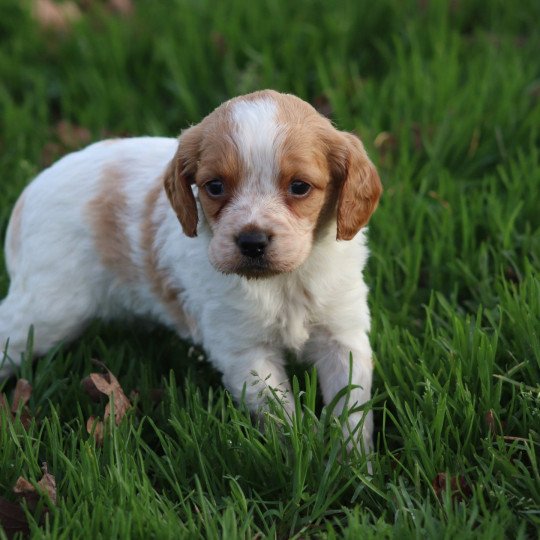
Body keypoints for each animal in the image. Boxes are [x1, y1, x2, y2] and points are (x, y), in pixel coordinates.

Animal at [0, 89, 382, 452]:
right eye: (214, 186)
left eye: (299, 186)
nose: (252, 241)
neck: (283, 282)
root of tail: (27, 195)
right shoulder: (245, 352)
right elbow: (281, 416)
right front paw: (300, 453)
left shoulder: (342, 337)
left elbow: (352, 410)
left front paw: (352, 465)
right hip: (49, 311)